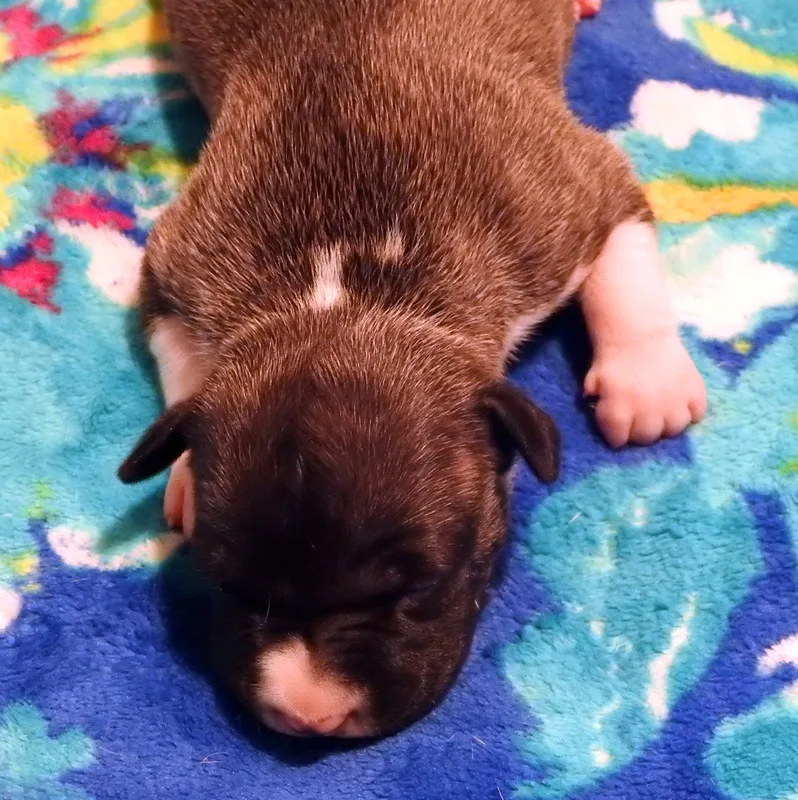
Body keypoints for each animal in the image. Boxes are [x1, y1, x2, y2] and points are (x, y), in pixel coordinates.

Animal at [118, 0, 706, 738]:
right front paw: (184, 472)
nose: (310, 718)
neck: (345, 289)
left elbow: (625, 261)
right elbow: (179, 354)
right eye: (228, 584)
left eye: (418, 587)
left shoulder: (573, 196)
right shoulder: (175, 265)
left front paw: (647, 380)